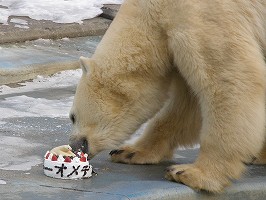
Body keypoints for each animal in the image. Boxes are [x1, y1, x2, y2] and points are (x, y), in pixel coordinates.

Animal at [69, 0, 266, 192]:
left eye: (72, 117)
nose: (73, 146)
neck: (156, 9)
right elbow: (188, 107)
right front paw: (129, 152)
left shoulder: (204, 19)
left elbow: (230, 83)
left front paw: (192, 173)